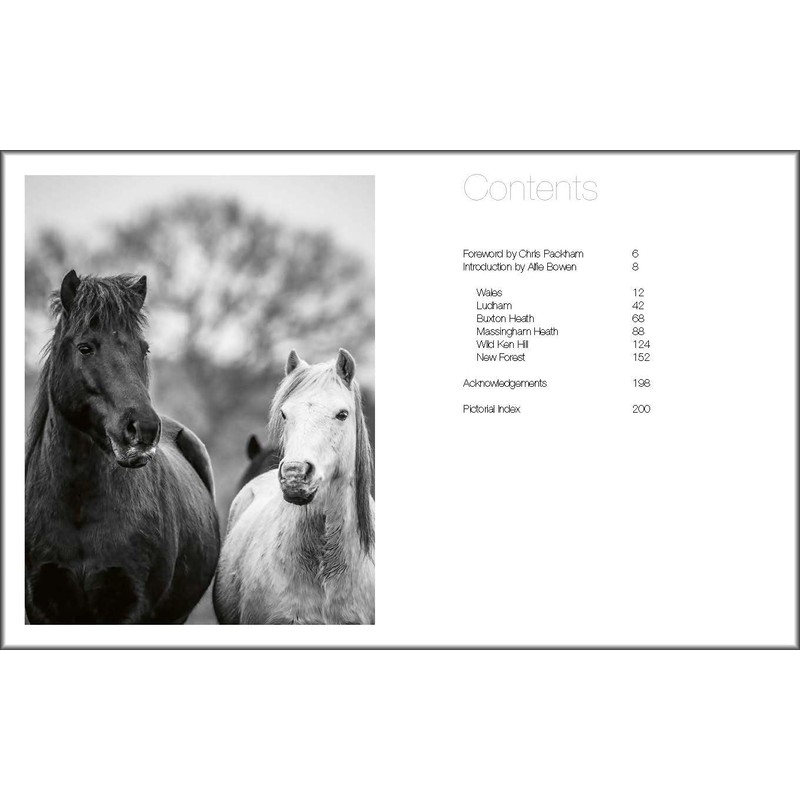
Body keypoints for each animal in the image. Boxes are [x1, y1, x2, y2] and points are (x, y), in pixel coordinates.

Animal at [25, 270, 220, 624]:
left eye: (144, 350)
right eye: (85, 348)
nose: (143, 429)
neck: (78, 506)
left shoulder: (130, 608)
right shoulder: (42, 606)